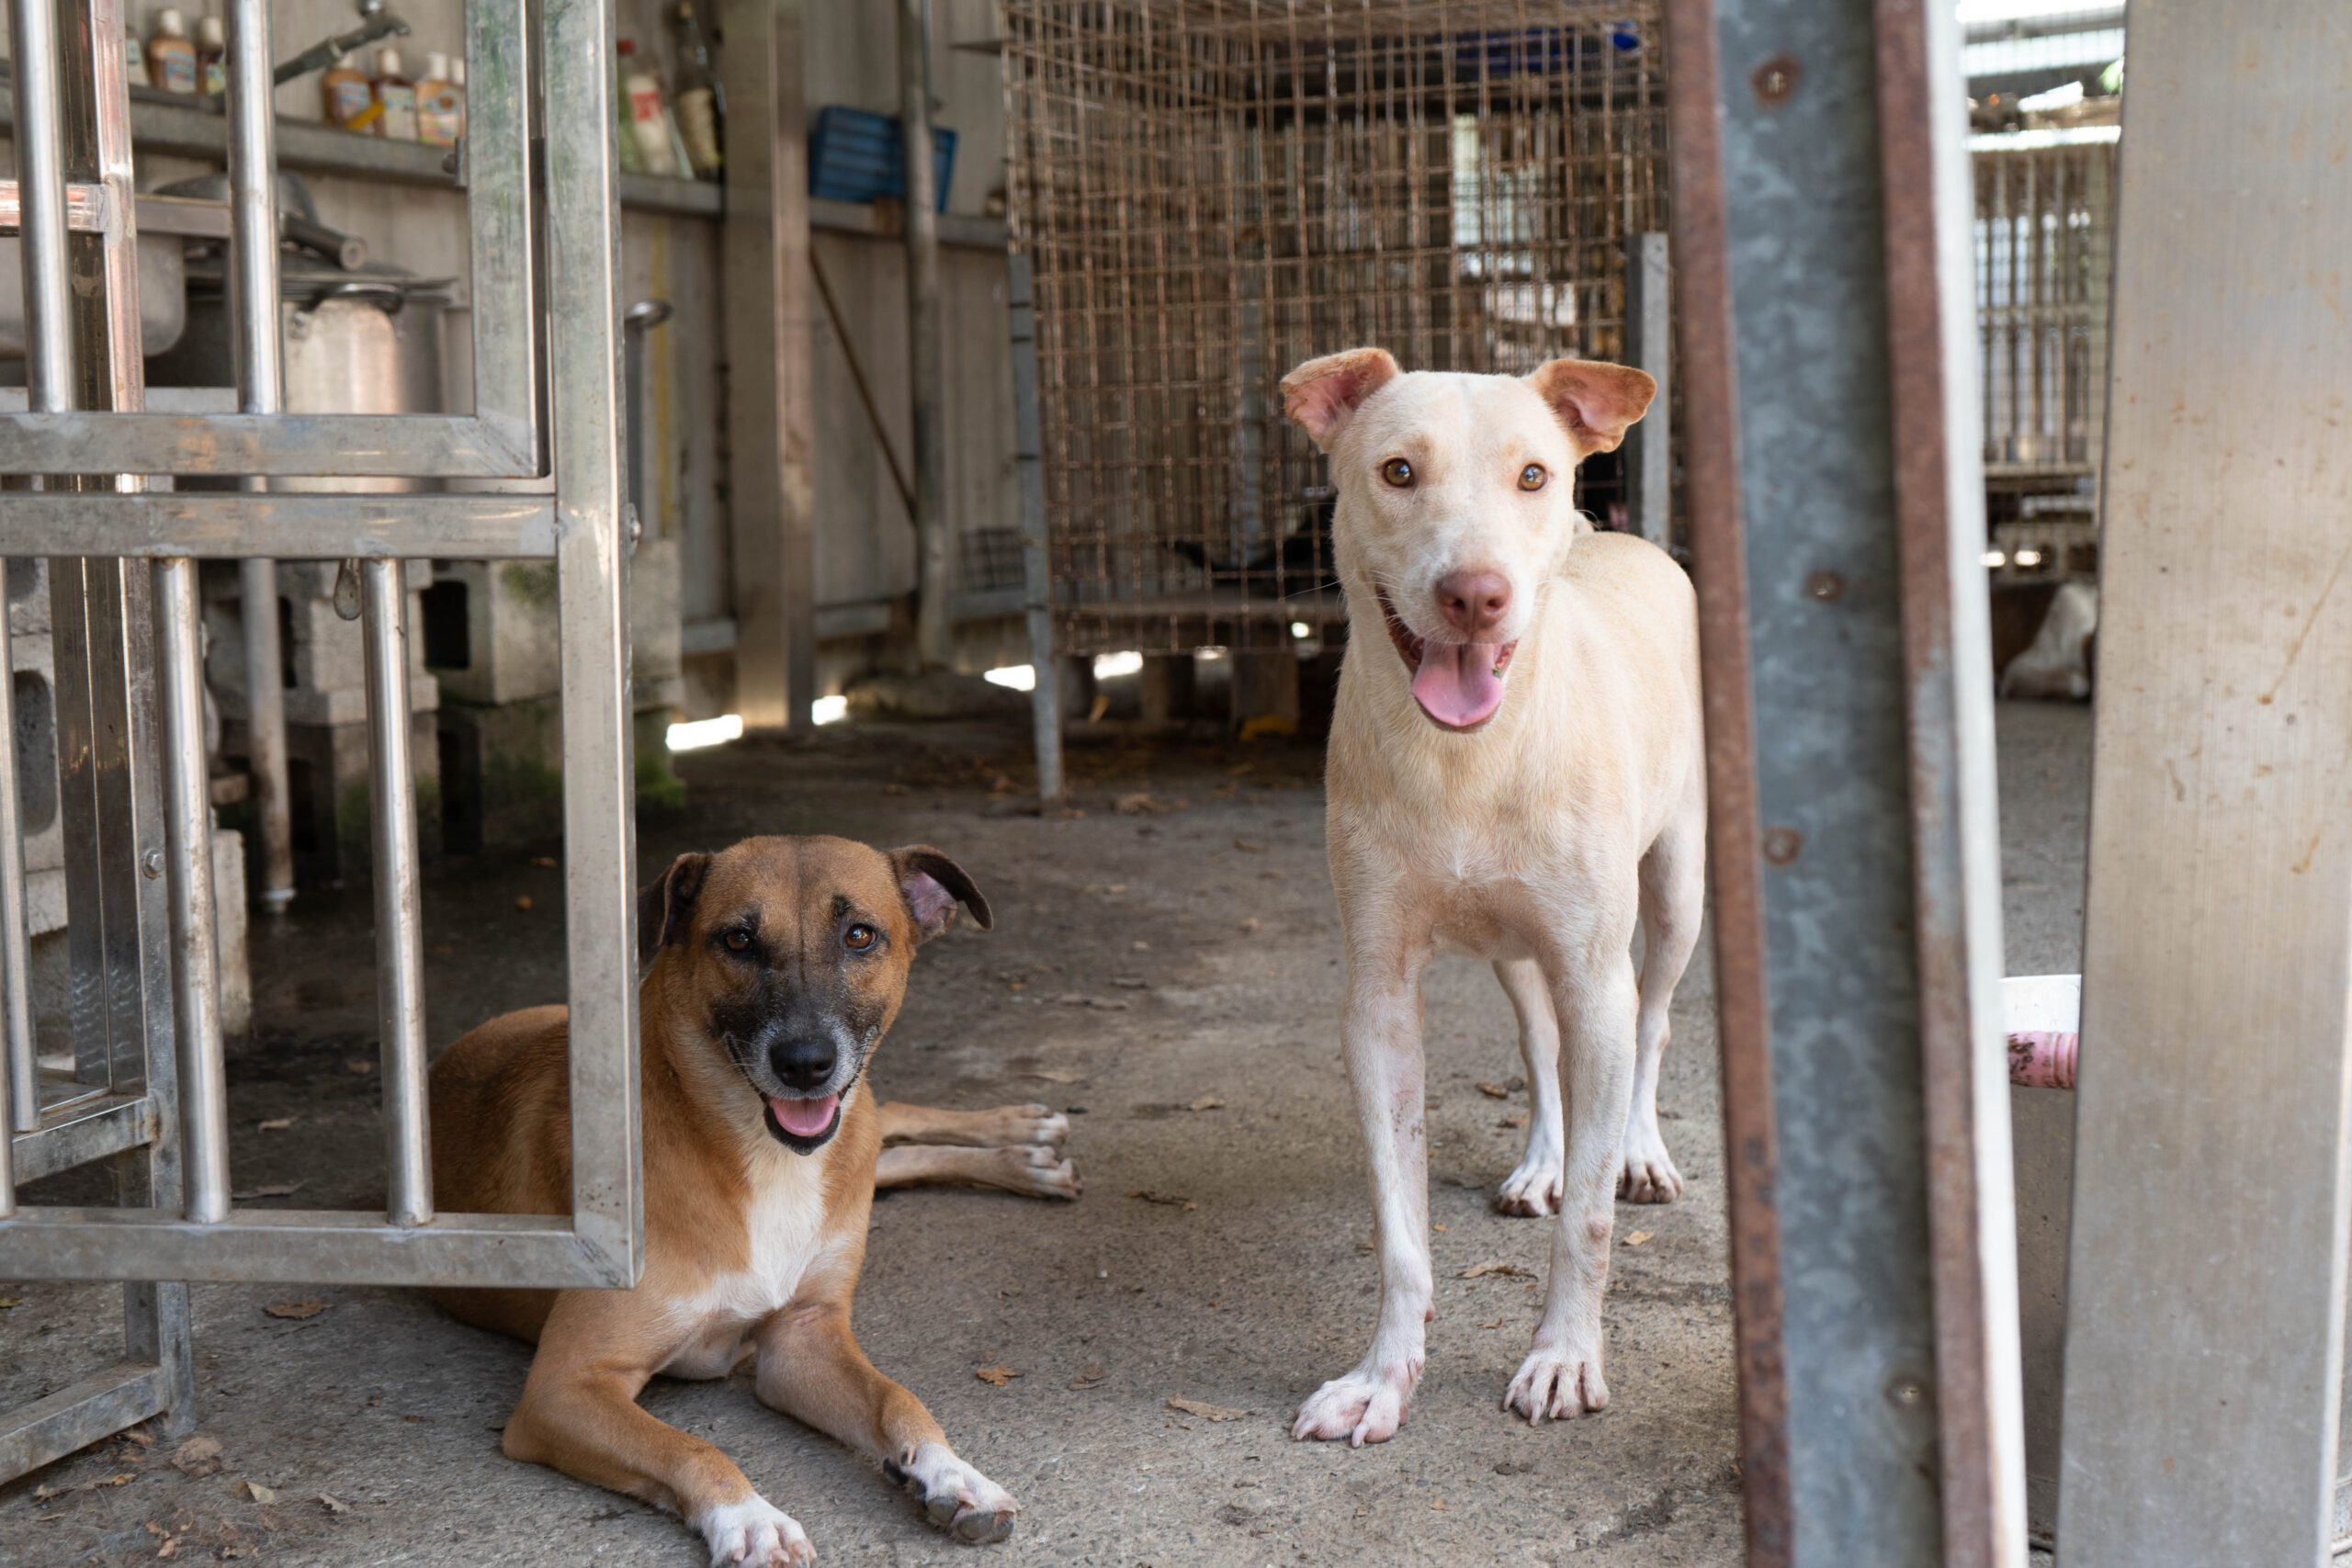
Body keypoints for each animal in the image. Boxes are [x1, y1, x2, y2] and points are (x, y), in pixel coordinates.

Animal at [433, 841, 1068, 1568]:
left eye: (860, 935)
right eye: (737, 939)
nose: (805, 1064)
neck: (761, 1157)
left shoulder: (803, 1335)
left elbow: (897, 1398)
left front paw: (953, 1472)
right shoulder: (563, 1387)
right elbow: (690, 1445)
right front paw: (750, 1516)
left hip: (862, 1123)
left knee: (895, 1118)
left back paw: (1026, 1140)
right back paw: (1025, 1153)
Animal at [1279, 345, 1702, 1448]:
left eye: (1532, 476)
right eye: (1396, 471)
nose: (1476, 595)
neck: (1464, 760)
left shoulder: (1595, 972)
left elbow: (1591, 1217)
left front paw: (1563, 1359)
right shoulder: (1379, 999)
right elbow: (1399, 1229)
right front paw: (1383, 1378)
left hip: (1675, 893)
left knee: (1652, 1022)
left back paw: (1639, 1149)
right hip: (1516, 950)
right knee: (1540, 1047)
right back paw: (1542, 1160)